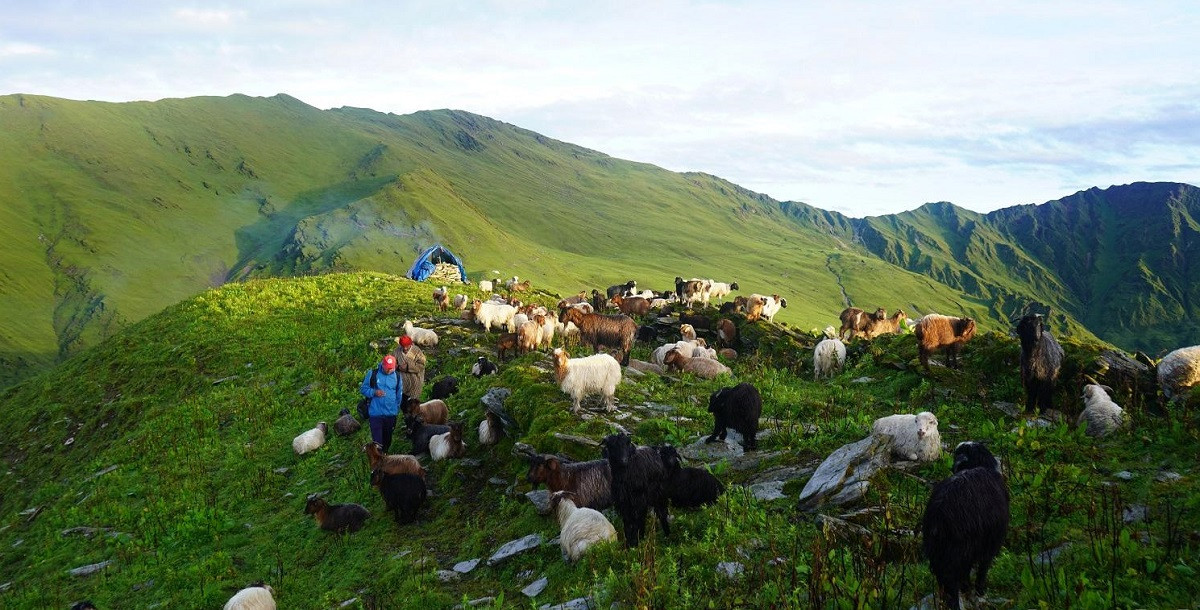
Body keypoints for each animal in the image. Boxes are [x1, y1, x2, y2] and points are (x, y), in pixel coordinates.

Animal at [921, 441, 1008, 607]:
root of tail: (938, 515)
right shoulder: (991, 542)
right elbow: (983, 567)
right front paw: (979, 591)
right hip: (961, 549)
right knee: (952, 577)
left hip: (938, 551)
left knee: (943, 578)